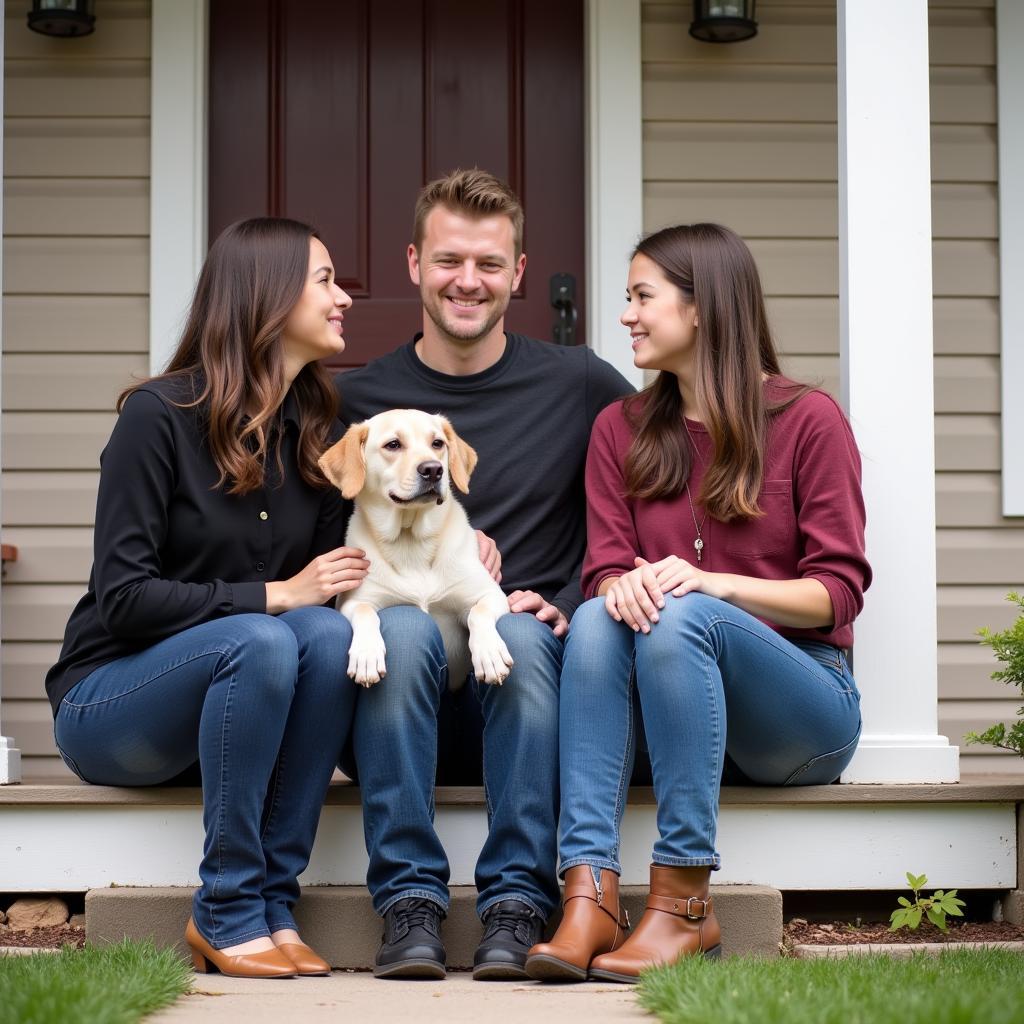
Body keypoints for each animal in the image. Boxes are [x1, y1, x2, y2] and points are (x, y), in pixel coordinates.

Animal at [317, 407, 512, 688]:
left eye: (437, 443)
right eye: (393, 444)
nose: (433, 469)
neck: (410, 540)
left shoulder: (491, 594)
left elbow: (479, 612)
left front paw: (490, 653)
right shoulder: (353, 602)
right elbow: (365, 612)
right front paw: (366, 655)